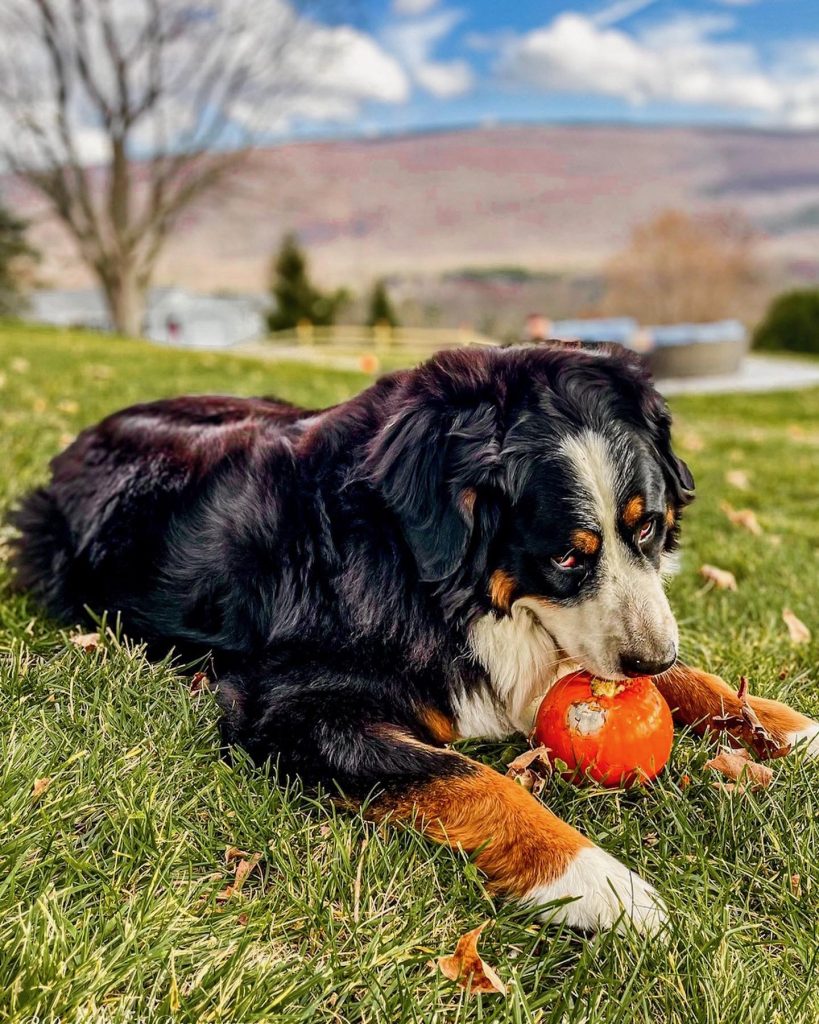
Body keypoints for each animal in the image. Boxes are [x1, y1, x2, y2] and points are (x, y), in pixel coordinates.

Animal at [7, 339, 818, 933]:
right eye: (565, 556)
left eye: (646, 525)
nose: (650, 656)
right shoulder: (295, 706)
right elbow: (472, 778)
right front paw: (600, 881)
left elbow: (695, 680)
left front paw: (788, 727)